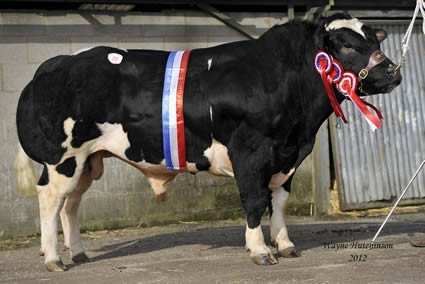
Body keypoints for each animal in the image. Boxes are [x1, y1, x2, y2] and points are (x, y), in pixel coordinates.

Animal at [15, 13, 400, 270]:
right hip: (63, 159)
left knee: (71, 204)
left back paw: (79, 253)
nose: (393, 72)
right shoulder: (251, 151)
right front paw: (260, 251)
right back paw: (53, 259)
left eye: (376, 41)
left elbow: (279, 202)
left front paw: (285, 245)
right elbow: (255, 201)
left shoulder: (288, 156)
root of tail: (60, 61)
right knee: (50, 201)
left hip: (87, 161)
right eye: (347, 45)